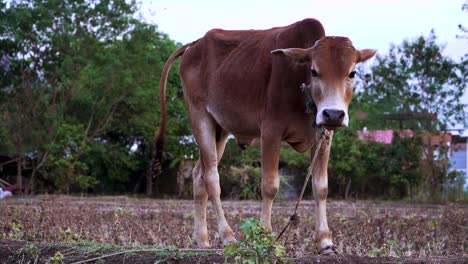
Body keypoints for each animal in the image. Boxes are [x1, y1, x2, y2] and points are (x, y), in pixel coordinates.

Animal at [155, 18, 374, 254]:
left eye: (352, 73)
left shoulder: (324, 137)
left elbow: (321, 187)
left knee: (198, 175)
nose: (333, 113)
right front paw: (266, 236)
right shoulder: (271, 132)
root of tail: (194, 45)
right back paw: (227, 236)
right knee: (211, 178)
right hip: (200, 117)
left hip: (220, 129)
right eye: (314, 71)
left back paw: (203, 240)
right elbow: (269, 186)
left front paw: (325, 241)